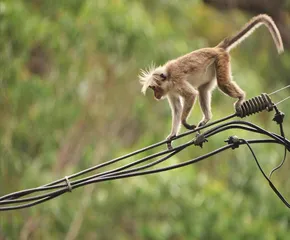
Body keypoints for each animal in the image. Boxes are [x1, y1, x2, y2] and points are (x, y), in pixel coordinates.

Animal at [138, 14, 284, 149]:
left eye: (154, 88)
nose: (156, 96)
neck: (168, 76)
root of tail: (216, 48)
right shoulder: (171, 91)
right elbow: (177, 108)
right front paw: (172, 135)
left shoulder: (177, 81)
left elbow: (191, 95)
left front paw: (184, 122)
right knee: (203, 89)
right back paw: (207, 117)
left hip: (220, 60)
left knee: (222, 83)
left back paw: (241, 97)